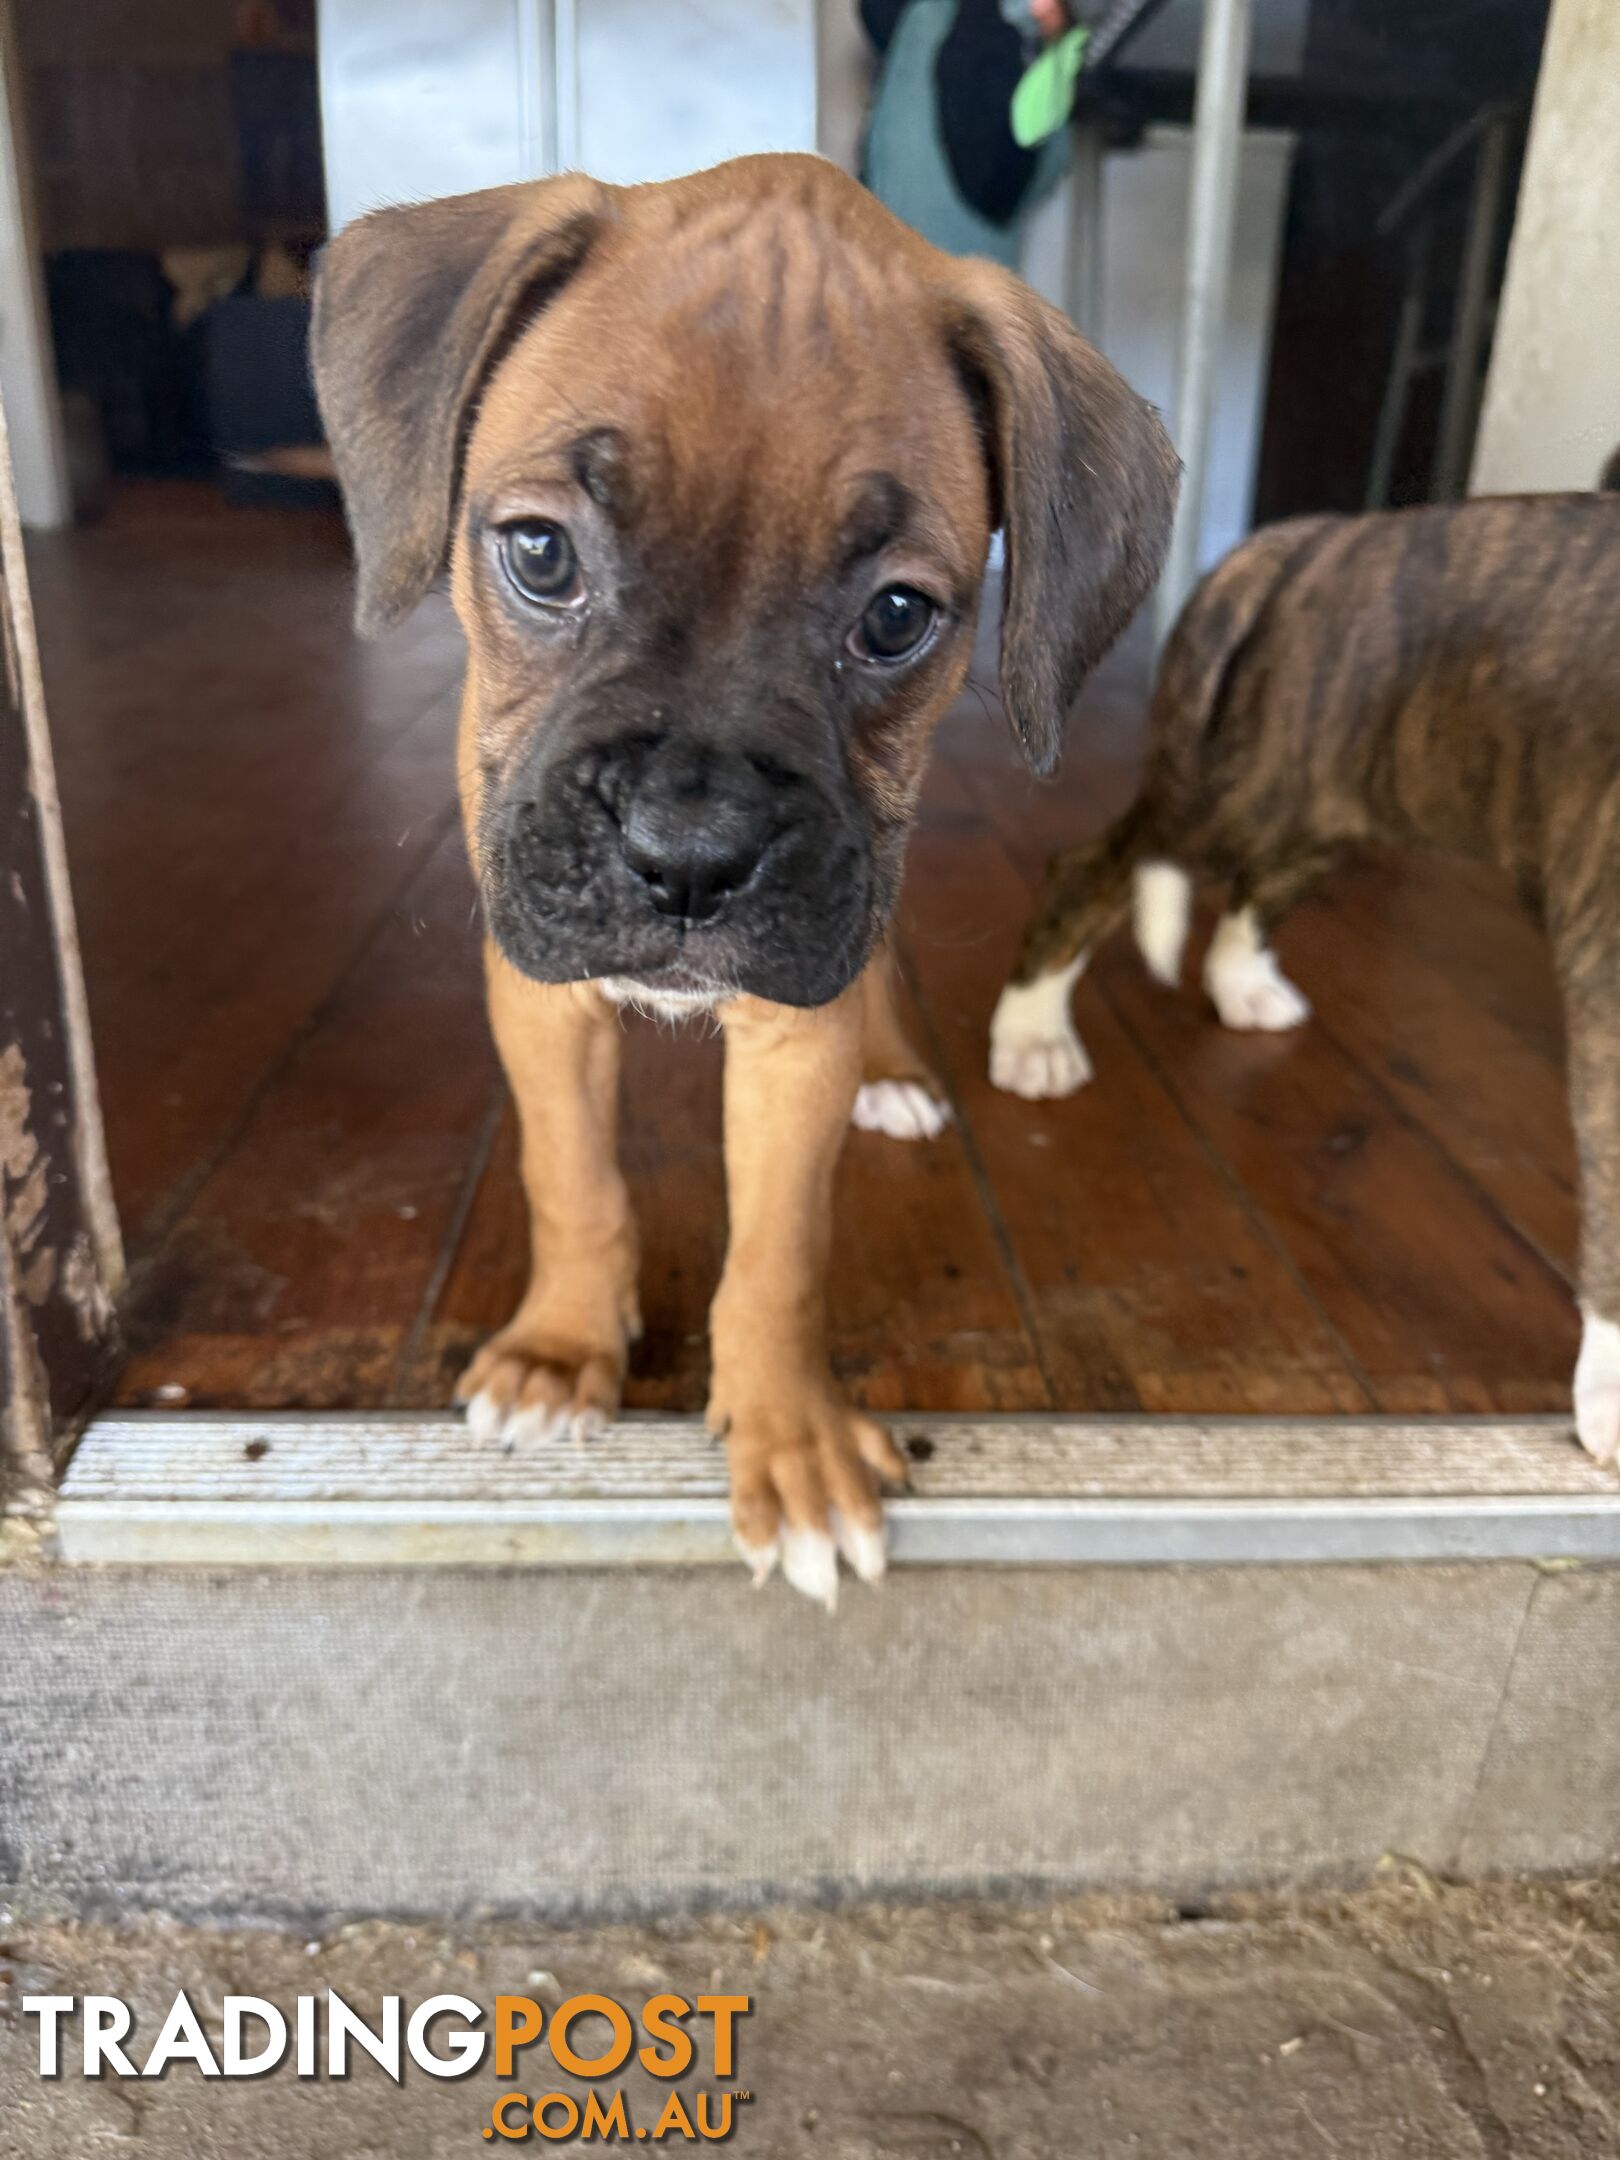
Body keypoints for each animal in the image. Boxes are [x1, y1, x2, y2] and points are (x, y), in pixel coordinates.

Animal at [313, 156, 1183, 1607]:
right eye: (539, 553)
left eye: (897, 617)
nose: (689, 852)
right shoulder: (541, 992)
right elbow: (571, 1178)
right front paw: (563, 1351)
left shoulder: (796, 1016)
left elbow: (777, 1252)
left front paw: (791, 1443)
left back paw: (893, 1073)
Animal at [997, 494, 1620, 1468]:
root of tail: (1319, 534)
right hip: (1246, 781)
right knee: (1094, 868)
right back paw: (1032, 1034)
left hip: (1340, 791)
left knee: (1263, 881)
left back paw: (1242, 984)